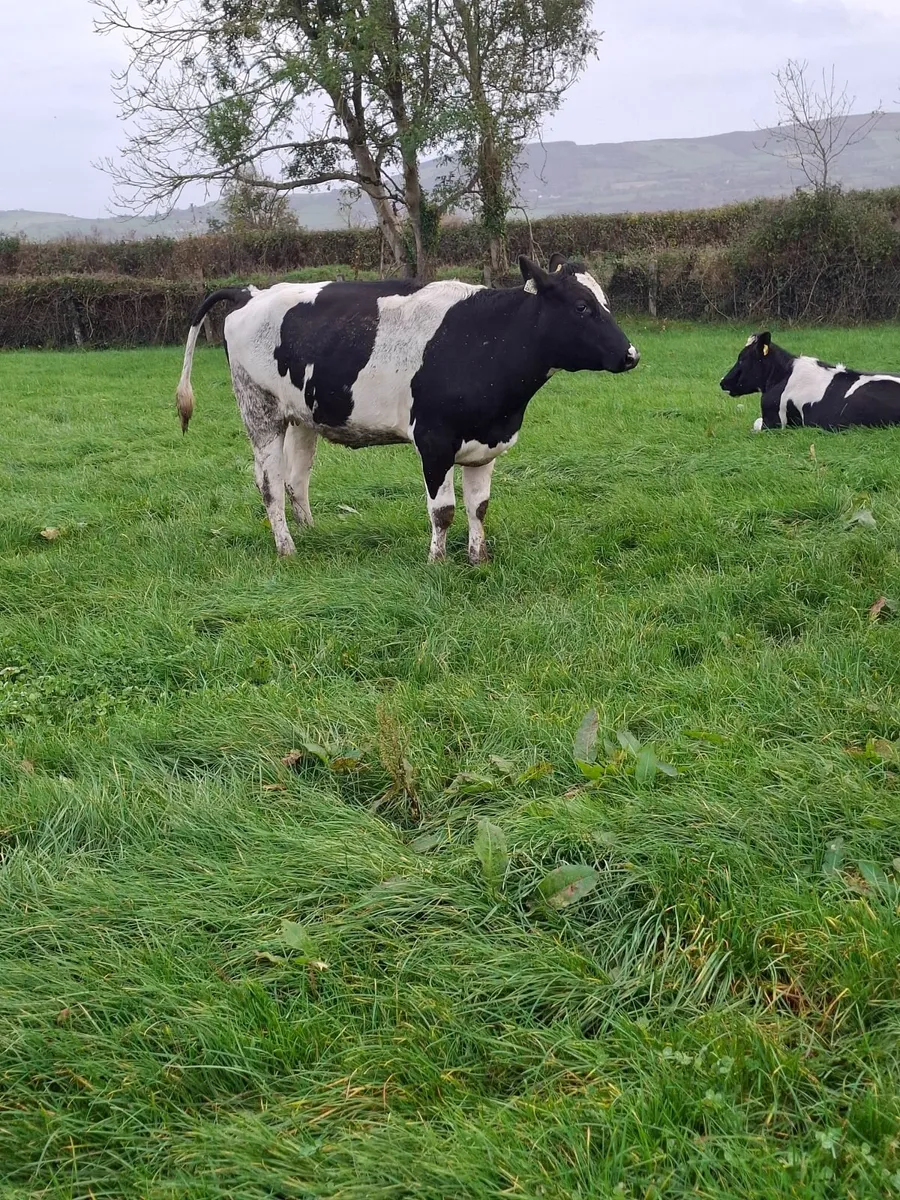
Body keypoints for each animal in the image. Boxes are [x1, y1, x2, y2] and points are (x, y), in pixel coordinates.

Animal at [175, 254, 639, 563]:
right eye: (582, 306)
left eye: (606, 302)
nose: (631, 355)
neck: (488, 338)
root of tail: (250, 292)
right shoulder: (434, 441)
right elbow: (443, 510)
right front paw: (437, 563)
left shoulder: (485, 443)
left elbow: (479, 506)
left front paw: (479, 558)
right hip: (260, 412)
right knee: (270, 484)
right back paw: (287, 548)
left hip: (304, 417)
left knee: (296, 481)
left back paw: (312, 534)